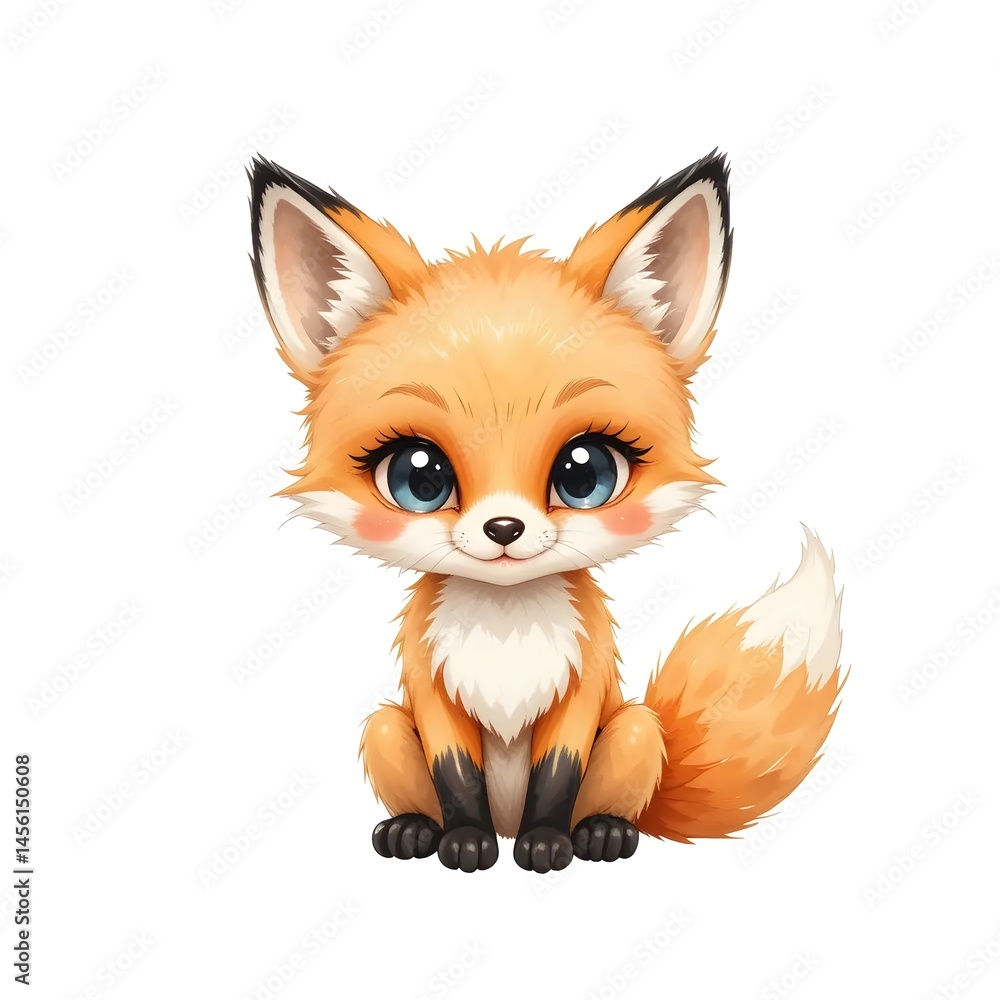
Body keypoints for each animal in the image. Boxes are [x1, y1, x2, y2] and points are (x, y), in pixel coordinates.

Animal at [247, 150, 844, 873]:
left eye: (585, 472)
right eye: (418, 476)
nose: (504, 528)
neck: (506, 632)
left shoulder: (584, 685)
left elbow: (559, 774)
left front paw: (548, 843)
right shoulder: (430, 690)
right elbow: (456, 777)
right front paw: (463, 841)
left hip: (636, 729)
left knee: (616, 788)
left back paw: (603, 832)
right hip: (387, 727)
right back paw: (415, 830)